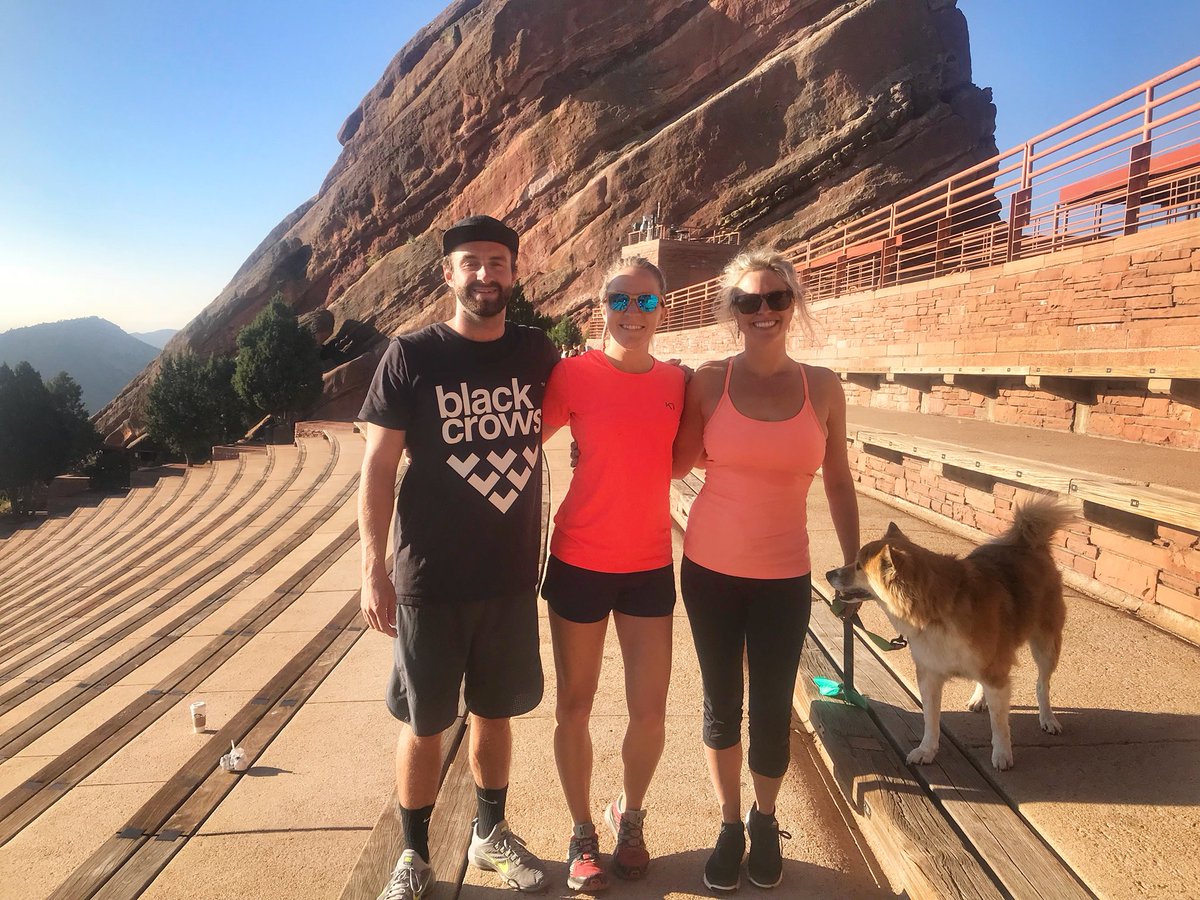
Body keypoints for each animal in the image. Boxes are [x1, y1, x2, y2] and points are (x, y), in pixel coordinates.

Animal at [830, 496, 1075, 772]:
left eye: (858, 566)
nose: (828, 574)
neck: (935, 613)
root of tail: (1029, 544)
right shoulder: (929, 675)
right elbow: (931, 720)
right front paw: (926, 750)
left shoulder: (997, 674)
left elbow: (999, 724)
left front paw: (1002, 753)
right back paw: (980, 698)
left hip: (1045, 645)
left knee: (1042, 684)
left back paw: (1048, 718)